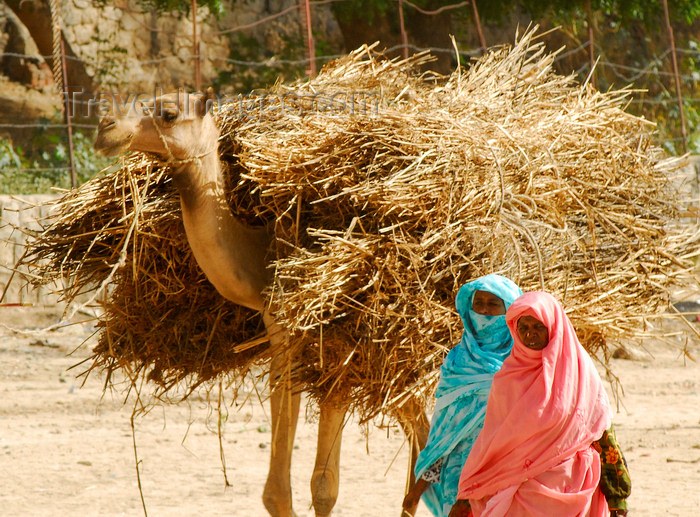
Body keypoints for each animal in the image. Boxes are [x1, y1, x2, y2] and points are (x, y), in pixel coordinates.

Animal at [93, 90, 430, 512]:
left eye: (168, 113)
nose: (106, 129)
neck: (262, 255)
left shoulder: (337, 347)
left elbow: (324, 488)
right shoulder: (283, 338)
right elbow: (276, 491)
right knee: (422, 431)